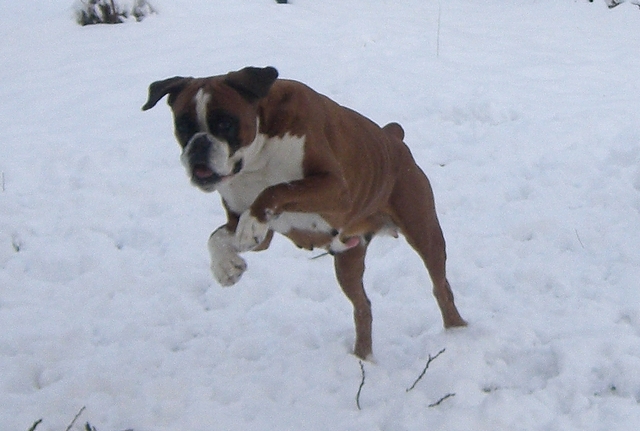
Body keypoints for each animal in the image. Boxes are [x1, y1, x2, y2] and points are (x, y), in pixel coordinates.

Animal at [143, 66, 466, 359]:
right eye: (182, 126)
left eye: (224, 123)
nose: (198, 145)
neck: (256, 157)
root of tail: (394, 138)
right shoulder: (254, 229)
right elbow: (217, 236)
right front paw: (226, 267)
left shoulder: (335, 189)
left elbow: (278, 189)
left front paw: (250, 226)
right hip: (348, 260)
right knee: (363, 308)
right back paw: (363, 359)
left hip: (424, 232)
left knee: (441, 288)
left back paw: (457, 332)